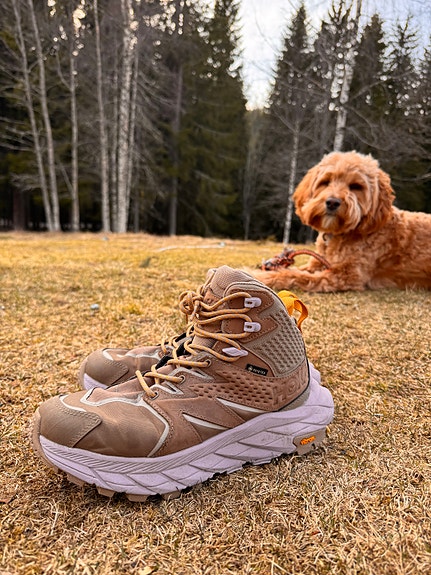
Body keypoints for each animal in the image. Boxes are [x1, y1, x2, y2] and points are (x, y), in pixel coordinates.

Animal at [255, 151, 431, 292]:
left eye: (356, 186)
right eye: (325, 182)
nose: (332, 202)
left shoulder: (346, 275)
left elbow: (296, 275)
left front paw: (261, 276)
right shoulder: (318, 263)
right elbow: (299, 269)